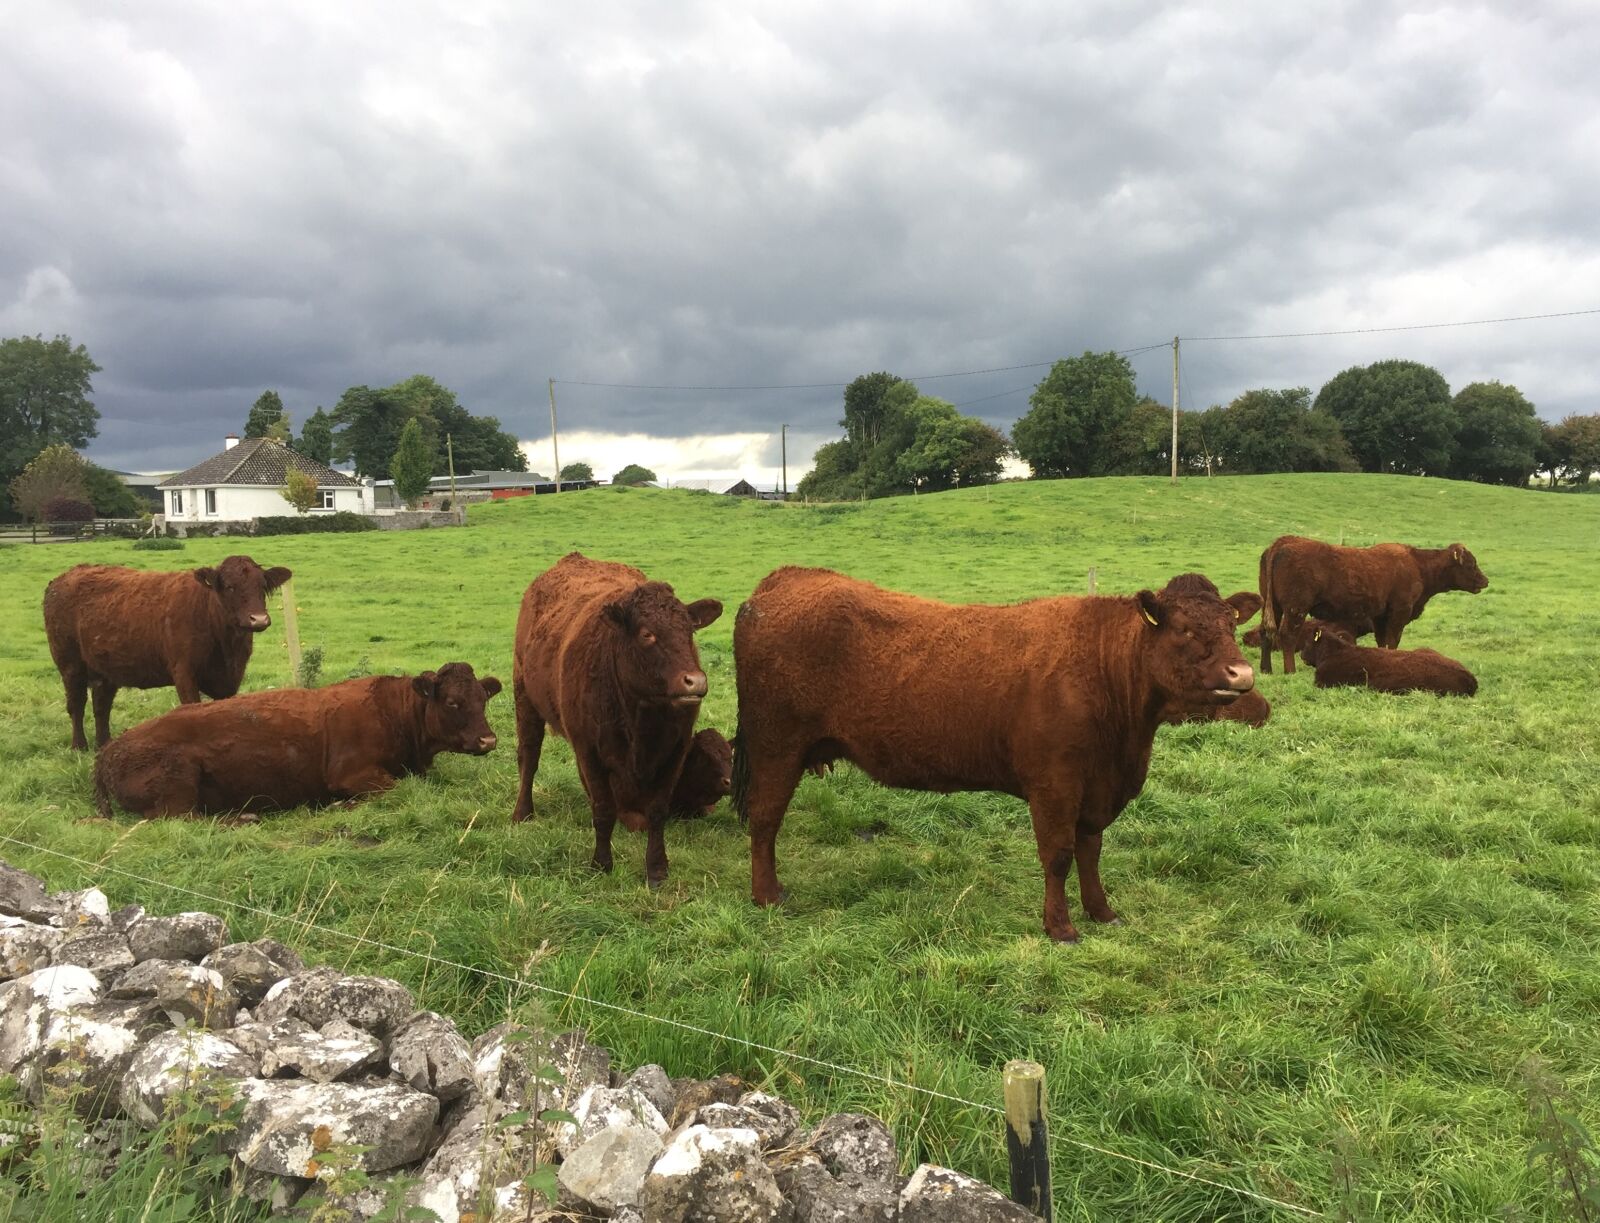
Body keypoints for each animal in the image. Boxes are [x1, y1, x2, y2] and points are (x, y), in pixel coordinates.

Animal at [44, 557, 292, 750]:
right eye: (230, 586)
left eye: (262, 586)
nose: (258, 619)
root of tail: (67, 575)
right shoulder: (183, 672)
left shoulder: (232, 678)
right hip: (70, 664)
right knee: (76, 704)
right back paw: (79, 746)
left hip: (105, 670)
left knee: (101, 706)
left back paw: (103, 745)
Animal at [93, 663, 501, 818]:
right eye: (452, 702)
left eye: (483, 699)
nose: (488, 740)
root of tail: (107, 752)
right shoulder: (351, 774)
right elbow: (390, 789)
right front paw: (338, 806)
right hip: (177, 784)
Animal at [510, 553, 722, 887]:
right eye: (647, 634)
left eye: (689, 631)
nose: (695, 682)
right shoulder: (589, 751)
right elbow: (604, 808)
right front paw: (601, 863)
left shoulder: (676, 750)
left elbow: (657, 810)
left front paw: (657, 869)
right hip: (524, 696)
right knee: (529, 757)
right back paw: (523, 812)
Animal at [730, 568, 1254, 943]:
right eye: (1184, 630)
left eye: (1232, 624)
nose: (1243, 674)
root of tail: (783, 580)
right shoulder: (1054, 783)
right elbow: (1058, 855)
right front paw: (1060, 928)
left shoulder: (1096, 788)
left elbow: (1090, 851)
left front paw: (1102, 911)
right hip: (777, 746)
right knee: (764, 818)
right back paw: (767, 896)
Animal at [1256, 536, 1487, 675]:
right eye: (1471, 564)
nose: (1485, 581)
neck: (1417, 565)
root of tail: (1285, 541)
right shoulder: (1399, 612)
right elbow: (1393, 641)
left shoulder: (1380, 616)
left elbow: (1382, 641)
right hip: (1295, 608)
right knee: (1287, 635)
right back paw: (1290, 670)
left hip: (1273, 605)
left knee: (1265, 633)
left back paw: (1266, 669)